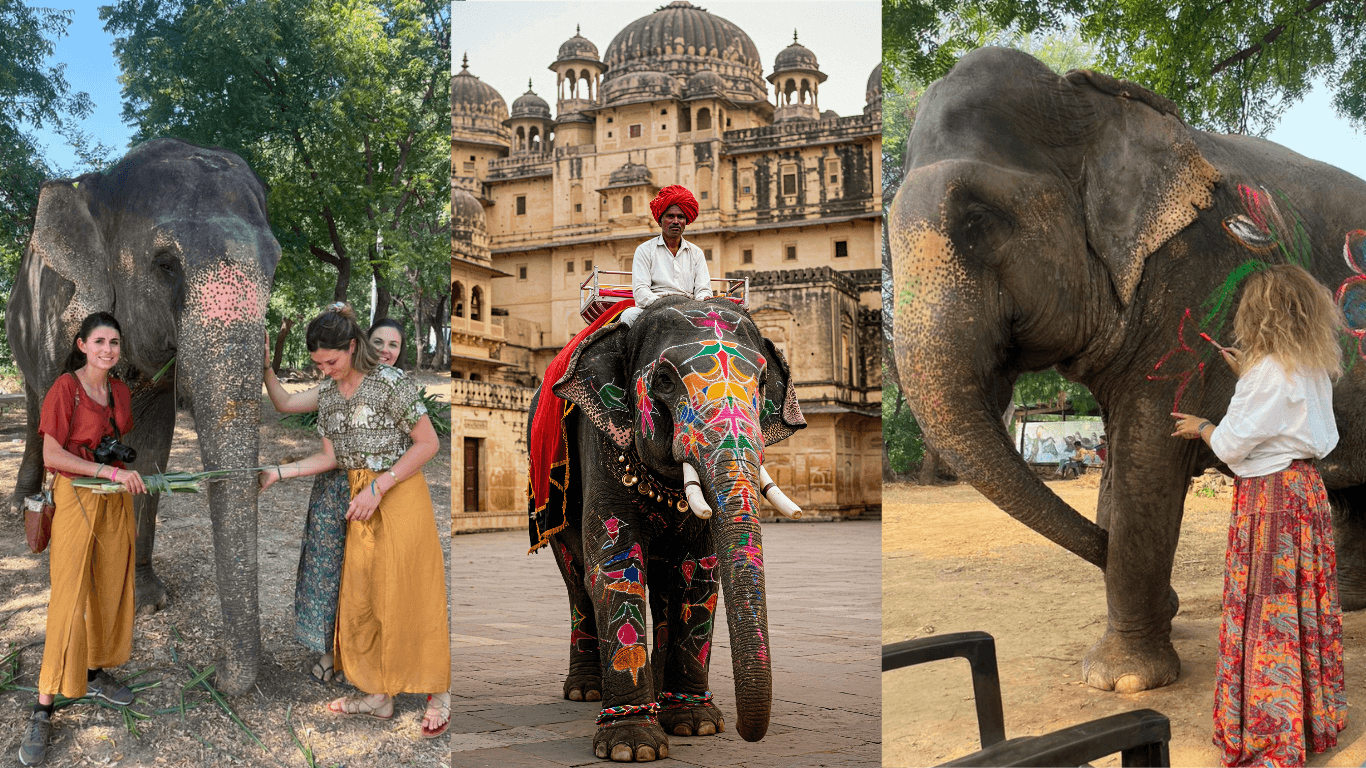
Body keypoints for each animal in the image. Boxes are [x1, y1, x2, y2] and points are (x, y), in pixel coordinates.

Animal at [7, 137, 281, 695]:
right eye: (165, 265)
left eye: (276, 266)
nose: (219, 675)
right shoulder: (58, 306)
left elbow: (151, 447)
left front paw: (146, 600)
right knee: (34, 408)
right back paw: (25, 511)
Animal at [527, 295, 806, 761]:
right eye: (663, 380)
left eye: (764, 382)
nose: (747, 733)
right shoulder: (600, 439)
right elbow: (616, 563)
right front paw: (632, 747)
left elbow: (702, 570)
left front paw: (697, 725)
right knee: (576, 578)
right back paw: (586, 691)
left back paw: (658, 693)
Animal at [889, 47, 1366, 694]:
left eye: (978, 220)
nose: (1173, 601)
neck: (1097, 106)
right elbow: (1119, 473)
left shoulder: (1189, 280)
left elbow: (1147, 464)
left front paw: (1126, 682)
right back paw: (1350, 604)